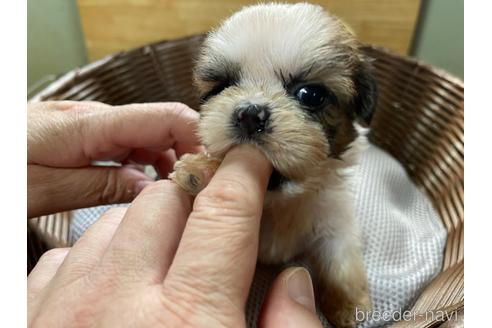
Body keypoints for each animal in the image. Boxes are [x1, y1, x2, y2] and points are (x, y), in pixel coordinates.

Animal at [169, 3, 376, 328]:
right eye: (221, 87)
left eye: (311, 95)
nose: (249, 114)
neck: (281, 202)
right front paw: (202, 170)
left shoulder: (334, 220)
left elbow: (340, 259)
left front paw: (348, 304)